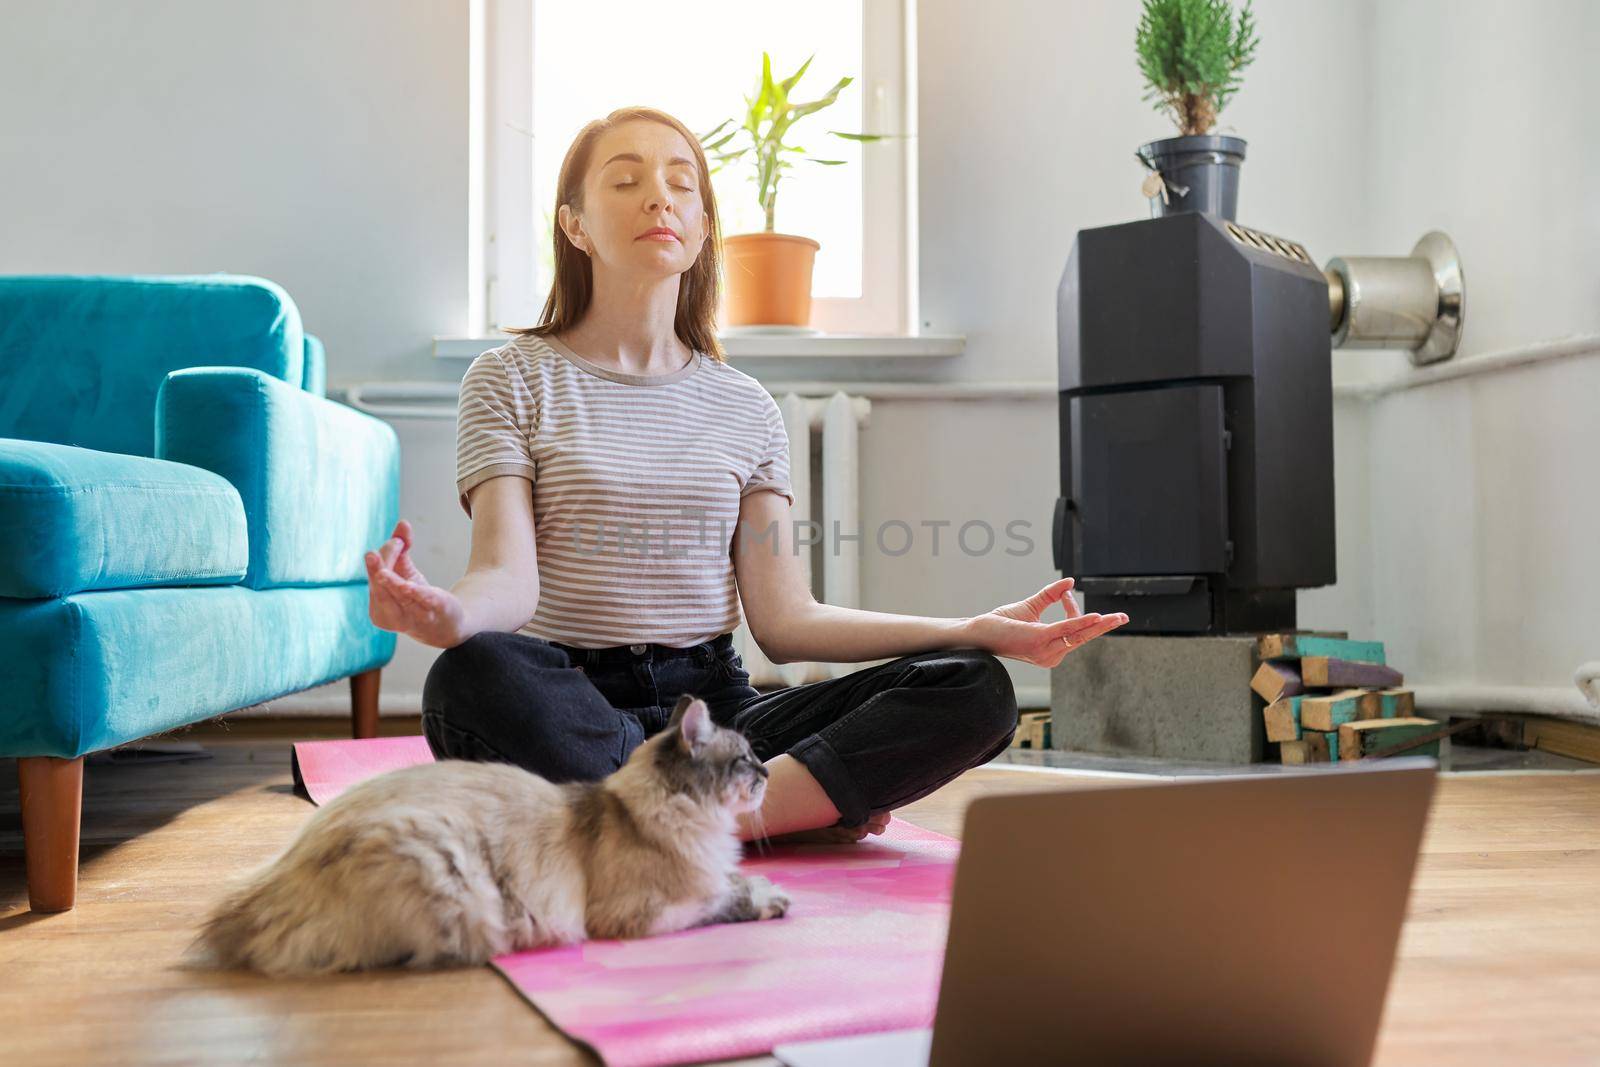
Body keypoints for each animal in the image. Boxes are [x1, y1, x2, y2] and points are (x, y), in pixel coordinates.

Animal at [190, 694, 790, 979]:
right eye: (745, 760)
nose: (767, 774)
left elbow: (731, 882)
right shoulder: (643, 913)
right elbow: (724, 899)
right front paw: (772, 898)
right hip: (448, 874)